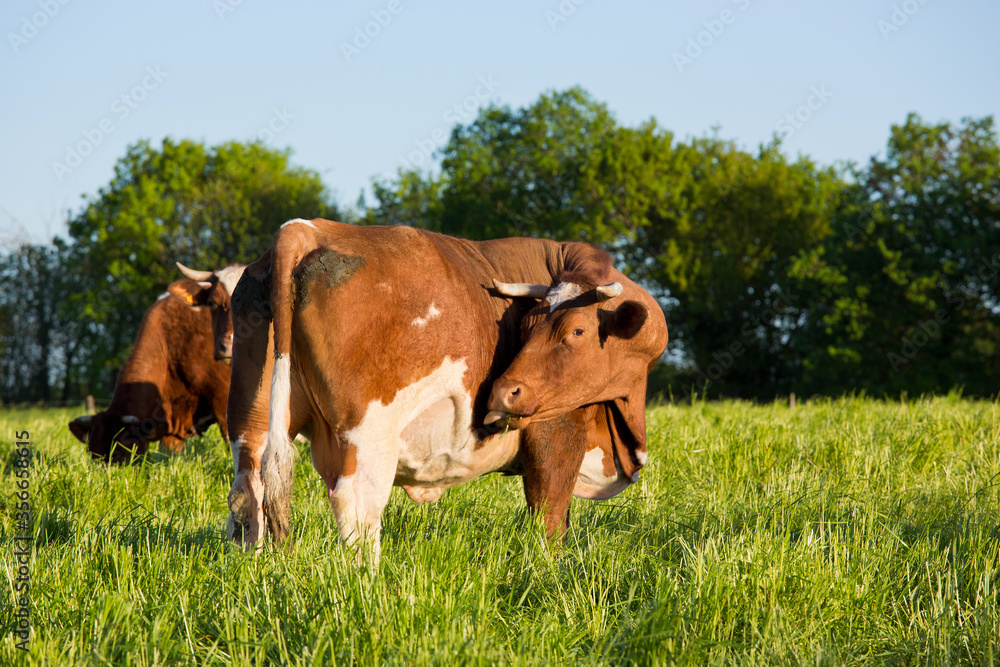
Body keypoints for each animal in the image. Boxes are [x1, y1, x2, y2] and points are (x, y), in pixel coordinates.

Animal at [225, 218, 668, 563]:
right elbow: (549, 515)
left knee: (248, 491)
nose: (502, 394)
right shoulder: (556, 428)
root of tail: (306, 230)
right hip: (368, 433)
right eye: (527, 330)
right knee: (357, 507)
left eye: (575, 330)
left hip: (253, 421)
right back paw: (367, 585)